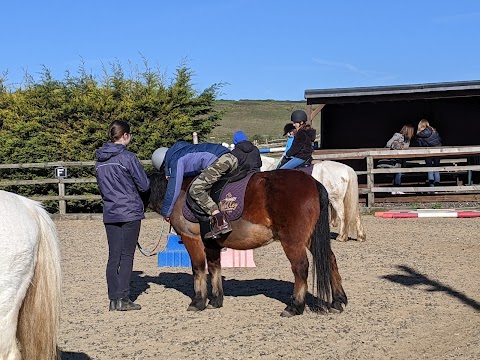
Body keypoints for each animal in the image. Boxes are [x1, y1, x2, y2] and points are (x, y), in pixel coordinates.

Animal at [148, 167, 346, 316]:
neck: (177, 192)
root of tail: (313, 182)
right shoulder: (210, 243)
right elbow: (214, 268)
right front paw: (216, 300)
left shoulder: (191, 238)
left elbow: (198, 269)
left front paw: (198, 302)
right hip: (310, 238)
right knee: (330, 260)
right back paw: (337, 300)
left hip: (292, 241)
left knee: (300, 268)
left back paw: (295, 306)